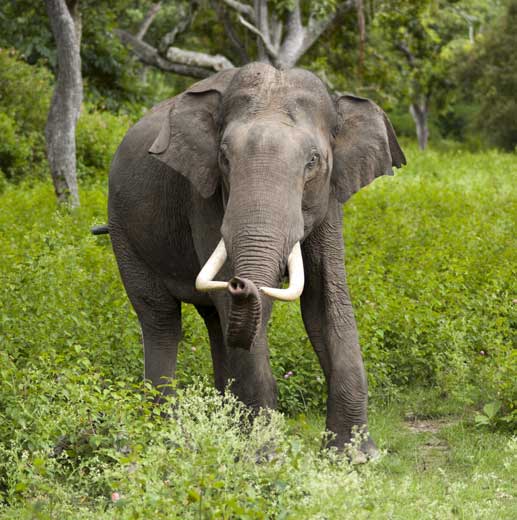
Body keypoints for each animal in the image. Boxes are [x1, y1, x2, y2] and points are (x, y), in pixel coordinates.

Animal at [107, 62, 406, 460]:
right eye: (224, 158)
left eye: (313, 161)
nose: (241, 283)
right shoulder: (203, 195)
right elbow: (248, 308)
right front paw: (264, 456)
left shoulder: (330, 198)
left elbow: (325, 302)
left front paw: (355, 456)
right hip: (123, 230)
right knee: (161, 319)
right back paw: (168, 436)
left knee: (215, 322)